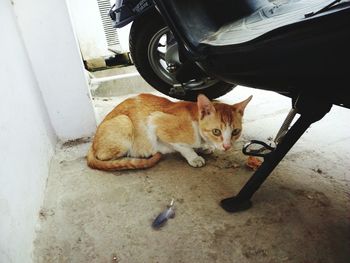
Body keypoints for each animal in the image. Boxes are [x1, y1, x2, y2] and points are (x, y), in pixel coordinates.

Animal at [87, 93, 252, 171]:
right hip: (124, 121)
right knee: (104, 156)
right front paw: (194, 156)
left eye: (235, 131)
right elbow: (182, 146)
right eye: (216, 131)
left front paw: (204, 147)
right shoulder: (155, 120)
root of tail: (93, 142)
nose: (227, 146)